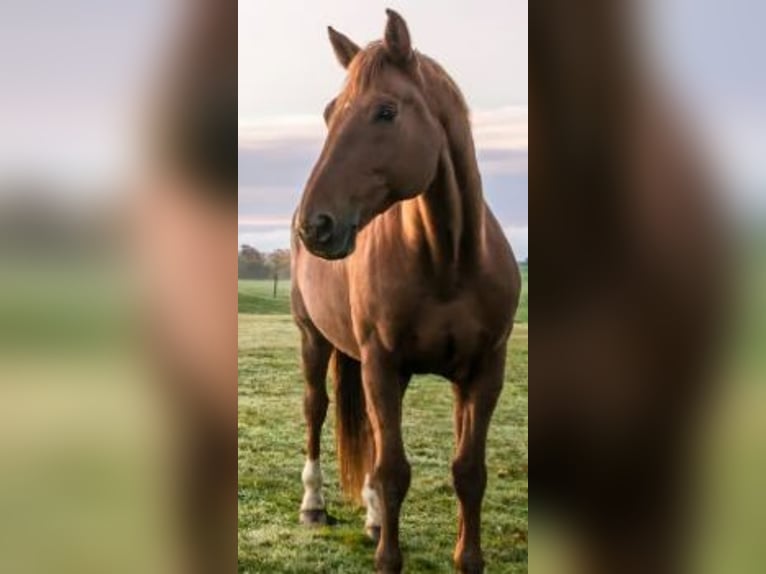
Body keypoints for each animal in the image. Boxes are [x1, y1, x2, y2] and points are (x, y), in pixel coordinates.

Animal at [290, 10, 521, 574]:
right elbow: (393, 471)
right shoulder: (382, 363)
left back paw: (373, 519)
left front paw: (468, 559)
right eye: (329, 113)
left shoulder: (484, 372)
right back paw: (314, 506)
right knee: (316, 410)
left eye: (386, 111)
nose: (314, 225)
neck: (448, 261)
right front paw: (387, 557)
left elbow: (468, 472)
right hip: (314, 340)